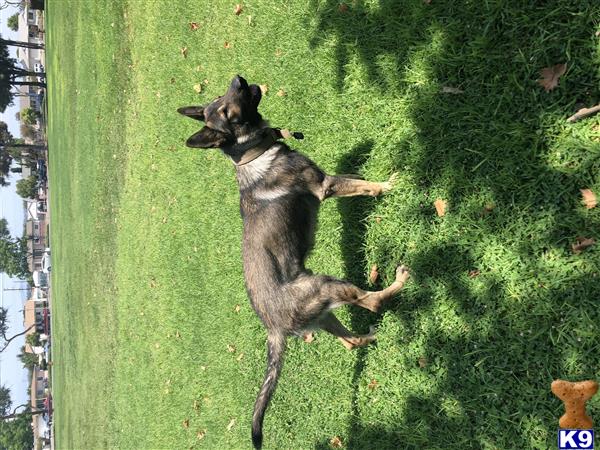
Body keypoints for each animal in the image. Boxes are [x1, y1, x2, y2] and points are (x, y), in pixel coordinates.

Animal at [178, 75, 410, 448]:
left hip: (323, 314)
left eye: (220, 97)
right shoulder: (324, 185)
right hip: (327, 285)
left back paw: (371, 338)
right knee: (370, 301)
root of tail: (273, 329)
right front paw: (387, 184)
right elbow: (363, 185)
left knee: (350, 341)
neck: (253, 156)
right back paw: (398, 282)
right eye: (227, 110)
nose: (239, 79)